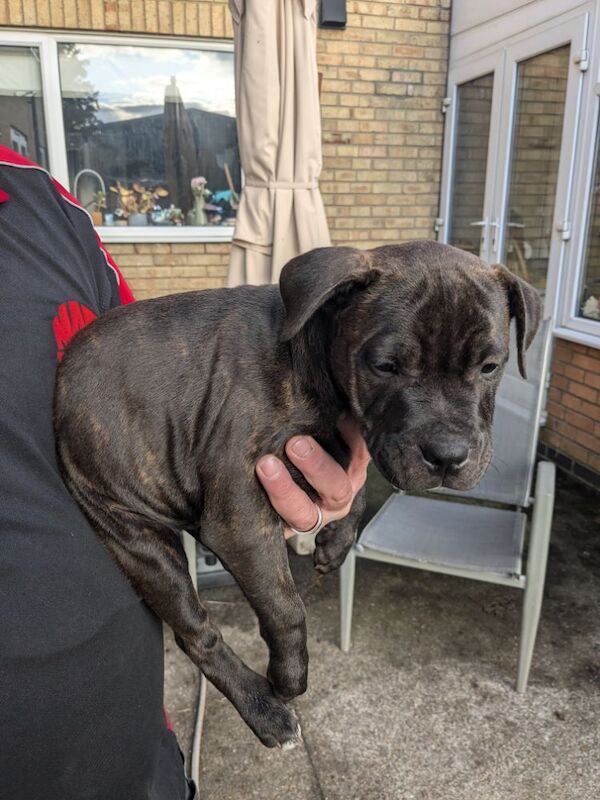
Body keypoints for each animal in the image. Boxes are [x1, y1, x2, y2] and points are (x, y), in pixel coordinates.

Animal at [54, 241, 540, 748]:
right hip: (137, 539)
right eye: (385, 366)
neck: (310, 354)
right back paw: (266, 710)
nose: (448, 455)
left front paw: (336, 540)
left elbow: (356, 477)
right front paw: (289, 678)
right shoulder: (241, 522)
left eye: (491, 366)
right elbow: (286, 608)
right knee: (197, 633)